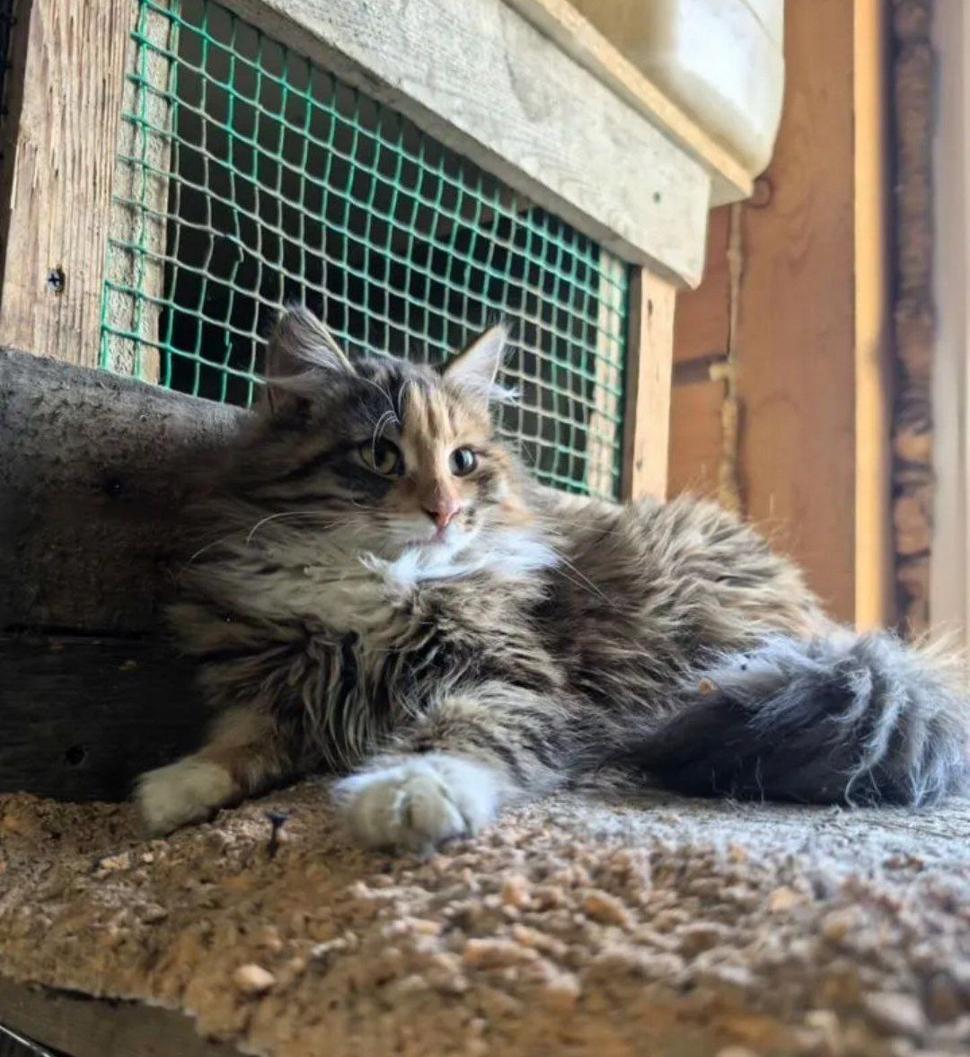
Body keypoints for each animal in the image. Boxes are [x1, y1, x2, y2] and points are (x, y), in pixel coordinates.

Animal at [136, 307, 970, 851]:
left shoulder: (516, 677)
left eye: (463, 461)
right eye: (380, 455)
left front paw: (409, 793)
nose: (443, 511)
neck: (377, 583)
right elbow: (240, 742)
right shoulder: (286, 678)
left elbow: (460, 731)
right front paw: (166, 791)